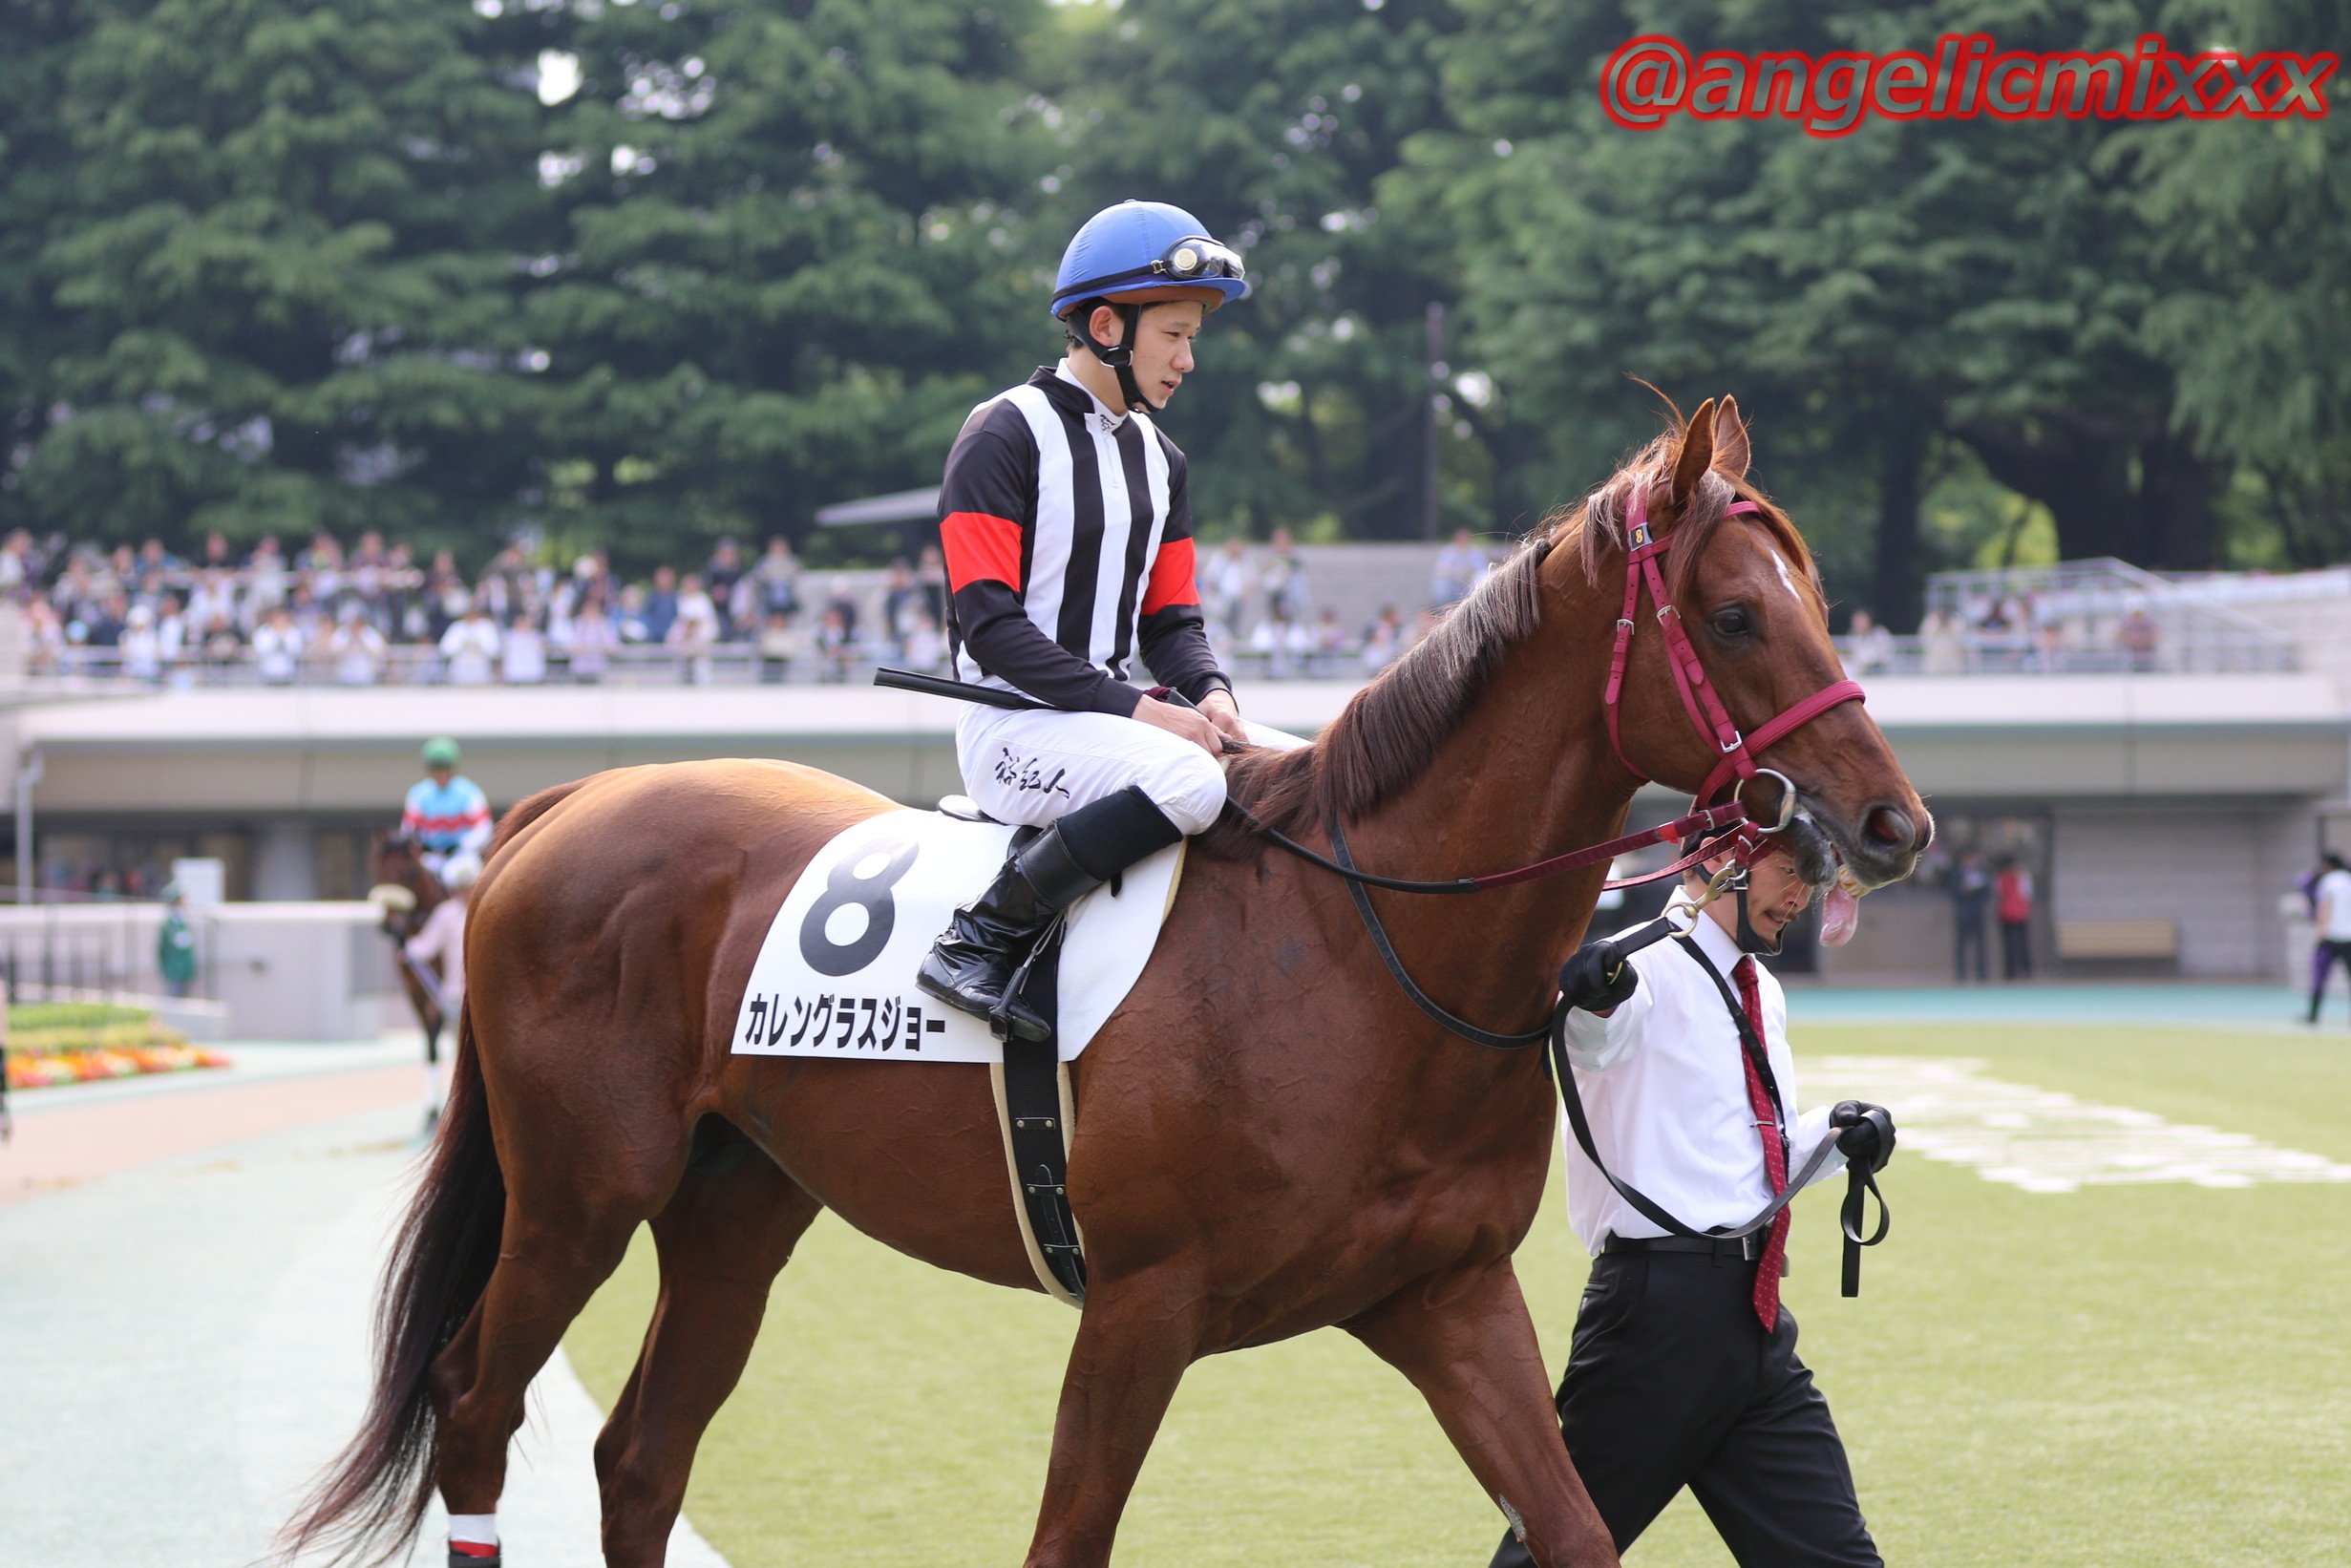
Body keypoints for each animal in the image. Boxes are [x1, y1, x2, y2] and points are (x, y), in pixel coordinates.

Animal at [289, 397, 1930, 1568]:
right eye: (1736, 614)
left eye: (1817, 598)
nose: (1889, 822)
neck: (1358, 950)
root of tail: (571, 798)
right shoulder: (1140, 1308)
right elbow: (1065, 1535)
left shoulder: (1445, 1296)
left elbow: (1577, 1523)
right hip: (581, 1190)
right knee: (475, 1407)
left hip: (737, 1200)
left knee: (639, 1456)